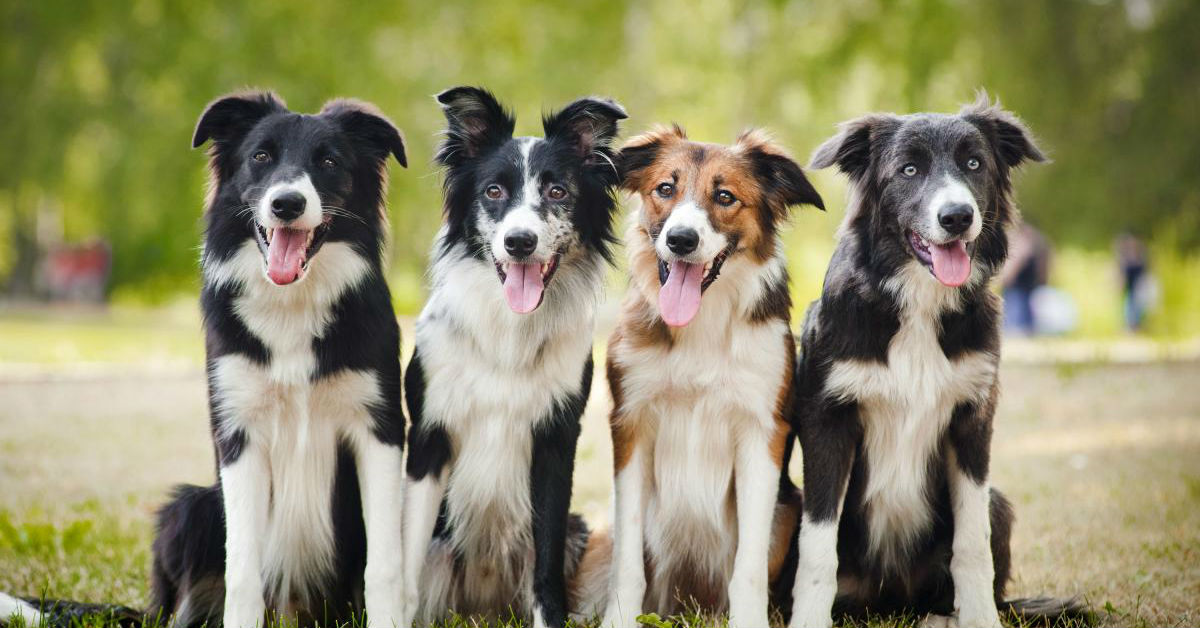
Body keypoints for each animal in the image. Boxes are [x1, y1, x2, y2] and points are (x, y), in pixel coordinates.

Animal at [152, 90, 408, 624]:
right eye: (261, 156)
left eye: (329, 162)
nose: (287, 204)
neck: (293, 304)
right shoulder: (239, 434)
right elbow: (243, 572)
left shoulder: (378, 428)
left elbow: (384, 566)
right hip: (191, 507)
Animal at [403, 88, 628, 628]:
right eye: (493, 192)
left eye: (558, 192)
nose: (519, 242)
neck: (508, 331)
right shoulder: (428, 436)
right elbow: (404, 567)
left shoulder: (555, 439)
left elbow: (545, 569)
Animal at [571, 126, 825, 628]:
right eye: (664, 189)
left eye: (725, 197)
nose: (681, 240)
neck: (701, 324)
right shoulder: (631, 424)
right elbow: (629, 560)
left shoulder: (762, 432)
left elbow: (748, 565)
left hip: (788, 510)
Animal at [787, 94, 1089, 628]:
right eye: (909, 170)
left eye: (974, 164)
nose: (957, 217)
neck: (918, 303)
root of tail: (890, 598)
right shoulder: (827, 420)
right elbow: (818, 546)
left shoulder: (972, 421)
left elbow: (972, 546)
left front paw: (981, 618)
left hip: (998, 502)